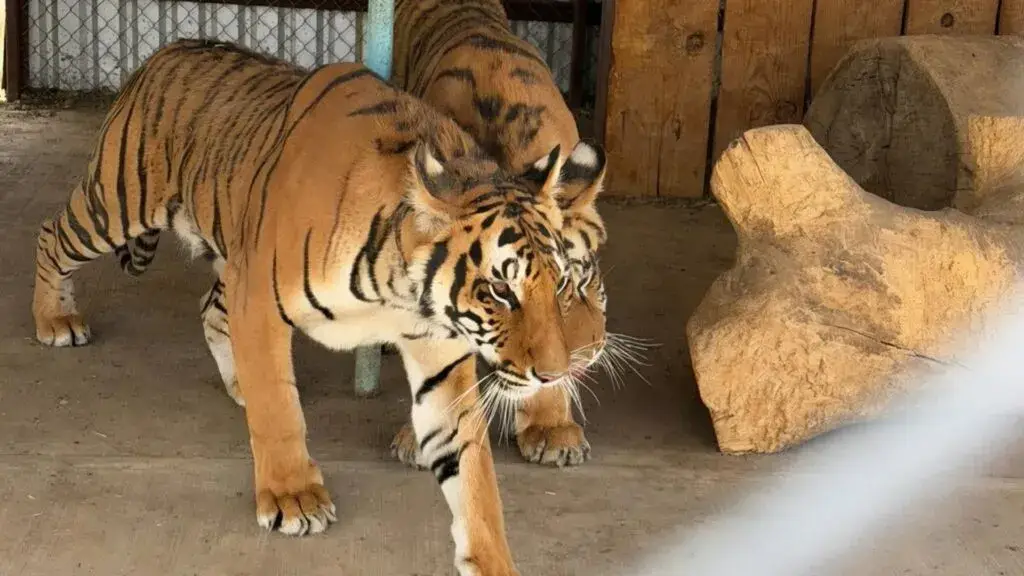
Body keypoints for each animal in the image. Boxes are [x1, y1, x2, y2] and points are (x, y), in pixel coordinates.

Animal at [30, 38, 603, 575]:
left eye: (563, 282)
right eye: (500, 290)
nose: (555, 374)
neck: (401, 291)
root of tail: (169, 48)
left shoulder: (439, 360)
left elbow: (474, 476)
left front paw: (492, 560)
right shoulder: (260, 300)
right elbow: (281, 415)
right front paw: (292, 497)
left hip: (227, 254)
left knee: (210, 310)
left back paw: (239, 384)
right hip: (116, 205)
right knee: (51, 234)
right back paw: (55, 320)